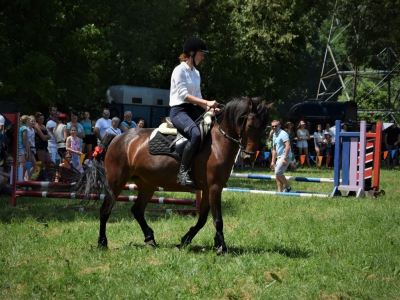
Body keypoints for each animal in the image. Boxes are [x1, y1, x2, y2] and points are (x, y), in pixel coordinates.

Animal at [93, 96, 272, 255]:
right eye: (250, 124)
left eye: (264, 127)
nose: (249, 157)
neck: (218, 142)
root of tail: (117, 137)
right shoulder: (214, 187)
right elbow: (218, 219)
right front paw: (222, 248)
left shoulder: (209, 189)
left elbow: (202, 219)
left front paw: (185, 241)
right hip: (116, 181)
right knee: (105, 209)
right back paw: (102, 242)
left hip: (147, 184)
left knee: (137, 210)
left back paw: (150, 239)